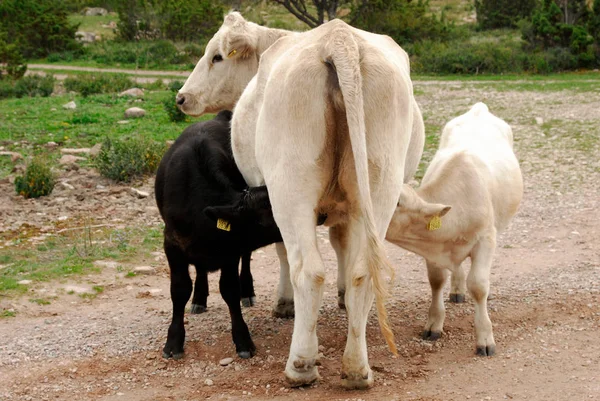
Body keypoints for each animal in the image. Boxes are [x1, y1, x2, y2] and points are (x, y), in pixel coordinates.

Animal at [157, 110, 284, 360]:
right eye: (270, 214)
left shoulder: (230, 250)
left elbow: (230, 289)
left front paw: (243, 340)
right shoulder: (172, 244)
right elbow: (179, 290)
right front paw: (174, 341)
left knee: (246, 259)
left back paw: (247, 291)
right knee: (200, 270)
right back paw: (199, 298)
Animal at [178, 11, 426, 318]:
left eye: (217, 57)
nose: (182, 97)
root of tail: (339, 39)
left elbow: (282, 249)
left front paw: (285, 302)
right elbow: (340, 243)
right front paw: (342, 294)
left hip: (290, 192)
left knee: (307, 272)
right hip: (379, 192)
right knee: (363, 271)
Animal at [386, 102, 524, 354]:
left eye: (397, 202)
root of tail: (479, 109)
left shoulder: (485, 239)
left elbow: (478, 285)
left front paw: (485, 338)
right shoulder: (432, 246)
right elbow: (436, 281)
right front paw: (434, 324)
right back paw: (457, 289)